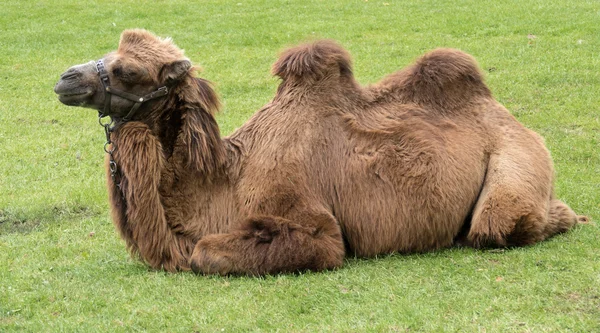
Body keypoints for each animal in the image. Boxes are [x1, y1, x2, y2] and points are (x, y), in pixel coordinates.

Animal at [54, 28, 584, 274]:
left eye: (129, 71)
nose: (65, 78)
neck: (227, 179)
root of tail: (511, 117)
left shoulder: (308, 222)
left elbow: (207, 252)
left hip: (517, 156)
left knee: (496, 224)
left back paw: (568, 217)